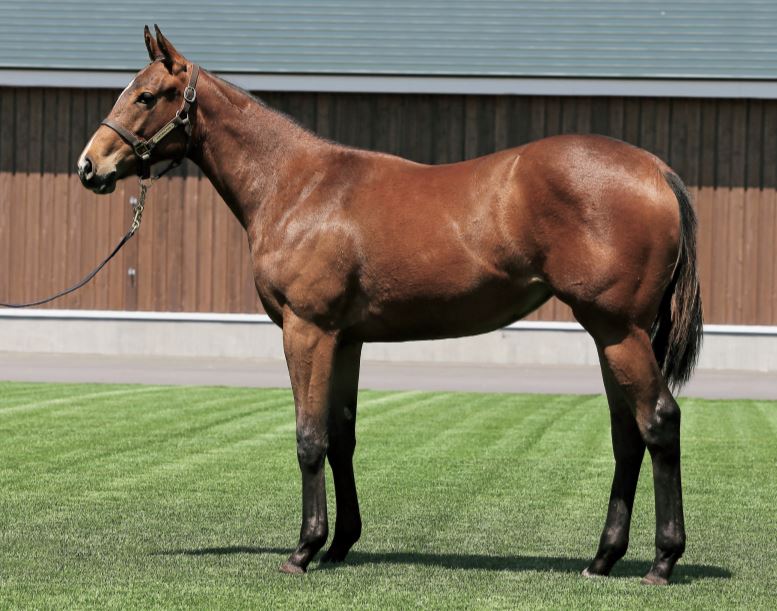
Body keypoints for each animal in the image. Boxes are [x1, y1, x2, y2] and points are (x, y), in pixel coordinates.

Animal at [77, 26, 702, 584]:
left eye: (146, 95)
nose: (89, 167)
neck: (298, 187)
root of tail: (656, 171)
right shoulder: (346, 339)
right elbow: (341, 437)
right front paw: (340, 544)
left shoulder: (306, 331)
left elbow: (309, 437)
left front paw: (304, 550)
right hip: (609, 333)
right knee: (627, 434)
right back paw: (603, 559)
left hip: (618, 329)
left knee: (658, 421)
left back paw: (662, 561)